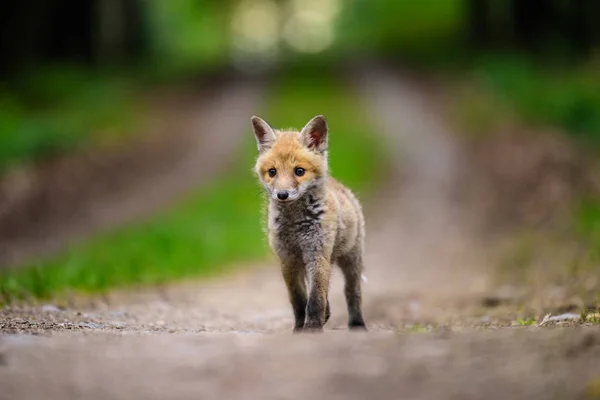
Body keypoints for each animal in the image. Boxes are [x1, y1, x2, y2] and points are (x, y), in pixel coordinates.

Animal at [252, 115, 368, 332]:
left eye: (299, 171)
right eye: (272, 172)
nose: (282, 195)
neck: (295, 225)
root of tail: (339, 185)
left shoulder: (317, 254)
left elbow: (315, 299)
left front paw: (313, 328)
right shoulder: (288, 260)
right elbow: (299, 299)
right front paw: (299, 328)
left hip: (350, 258)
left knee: (352, 291)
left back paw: (357, 324)